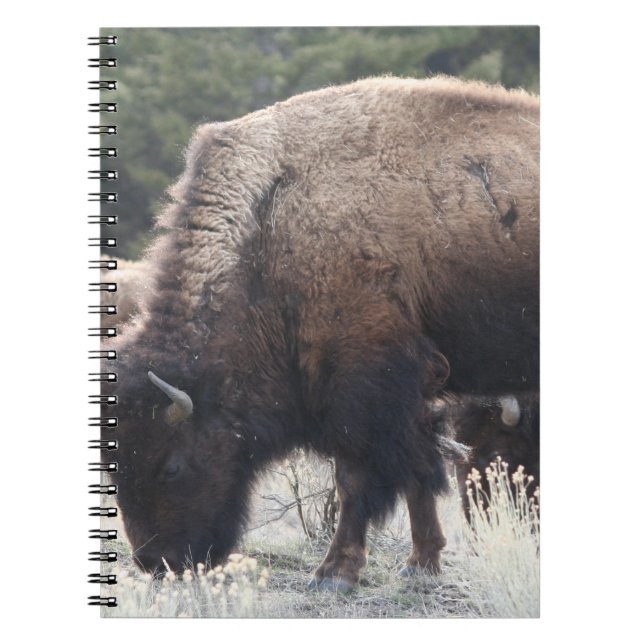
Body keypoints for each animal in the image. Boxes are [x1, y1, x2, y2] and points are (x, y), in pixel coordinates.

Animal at [104, 76, 539, 592]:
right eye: (112, 470)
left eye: (171, 465)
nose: (158, 563)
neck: (272, 228)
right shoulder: (403, 399)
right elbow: (416, 475)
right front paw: (420, 564)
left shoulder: (364, 387)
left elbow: (356, 479)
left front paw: (334, 573)